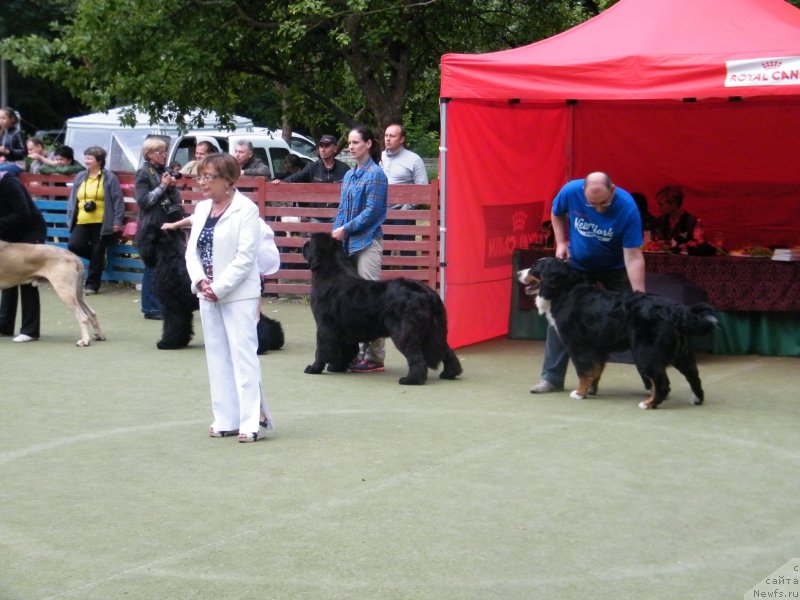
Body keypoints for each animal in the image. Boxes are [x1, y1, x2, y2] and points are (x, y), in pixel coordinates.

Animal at [300, 232, 462, 386]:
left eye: (310, 241)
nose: (304, 244)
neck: (329, 272)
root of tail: (427, 293)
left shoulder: (324, 326)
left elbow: (321, 350)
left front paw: (314, 368)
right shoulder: (346, 328)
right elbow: (346, 350)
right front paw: (337, 367)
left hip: (404, 332)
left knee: (416, 357)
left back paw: (411, 379)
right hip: (436, 331)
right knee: (446, 351)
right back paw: (449, 374)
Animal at [520, 255, 720, 410]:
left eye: (535, 267)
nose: (518, 273)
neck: (565, 290)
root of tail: (673, 309)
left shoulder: (578, 345)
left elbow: (583, 371)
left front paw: (580, 392)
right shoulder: (597, 346)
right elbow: (595, 370)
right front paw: (590, 390)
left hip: (646, 353)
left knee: (662, 382)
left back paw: (649, 403)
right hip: (681, 353)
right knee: (694, 376)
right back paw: (696, 399)